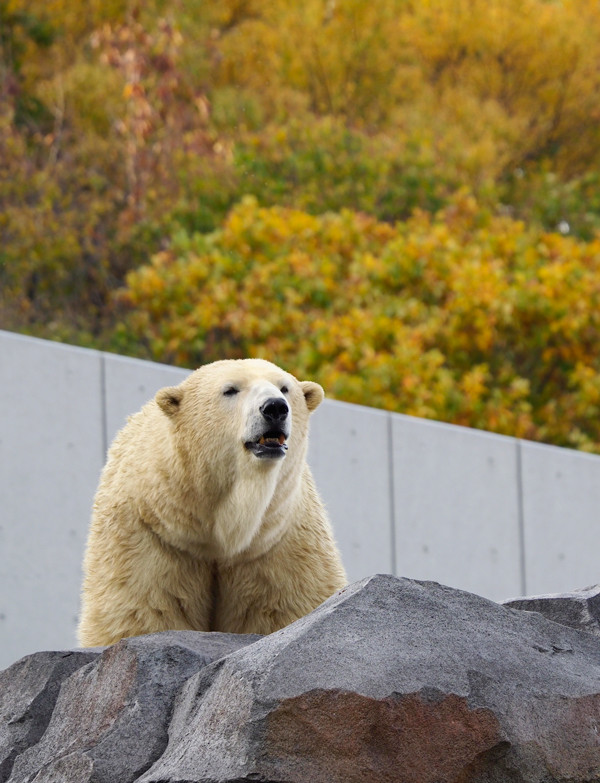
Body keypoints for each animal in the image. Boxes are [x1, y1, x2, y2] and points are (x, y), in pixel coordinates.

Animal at [78, 358, 346, 648]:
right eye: (230, 390)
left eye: (285, 388)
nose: (275, 407)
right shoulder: (150, 537)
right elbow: (143, 610)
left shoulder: (279, 544)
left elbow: (284, 607)